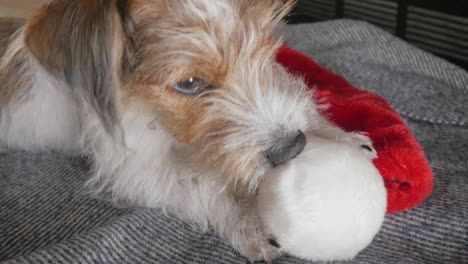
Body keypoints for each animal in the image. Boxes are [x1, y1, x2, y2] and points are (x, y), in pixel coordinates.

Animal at [0, 0, 372, 260]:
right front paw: (250, 219)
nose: (293, 146)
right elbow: (198, 183)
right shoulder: (131, 166)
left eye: (265, 46)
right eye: (190, 83)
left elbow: (290, 86)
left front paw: (339, 136)